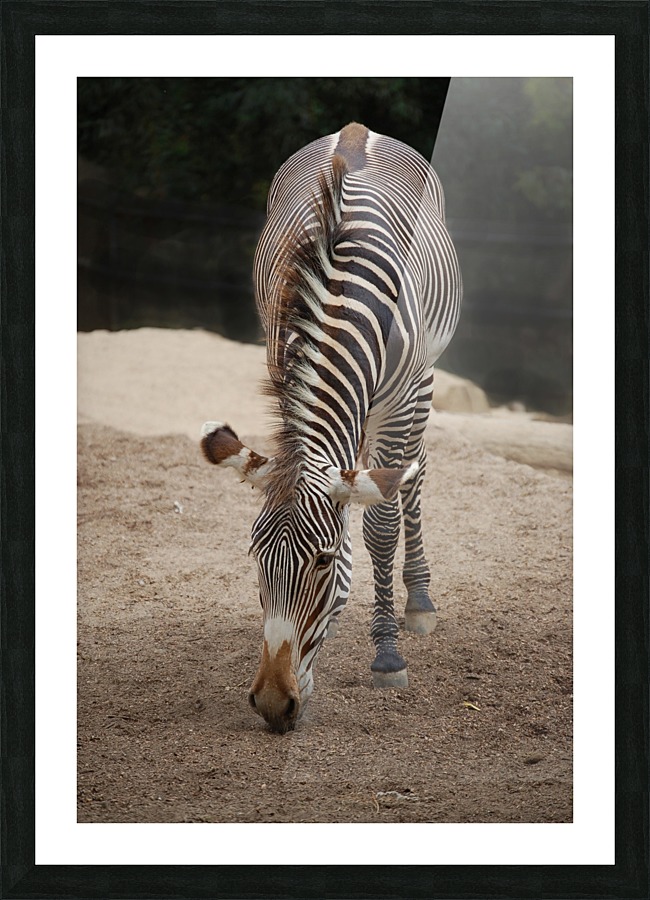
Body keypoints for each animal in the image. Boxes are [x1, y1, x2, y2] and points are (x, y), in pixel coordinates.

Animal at [201, 122, 461, 733]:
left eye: (322, 561)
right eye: (256, 557)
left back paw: (418, 600)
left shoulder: (398, 400)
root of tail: (356, 130)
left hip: (425, 378)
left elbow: (380, 526)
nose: (274, 707)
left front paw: (387, 655)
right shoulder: (282, 364)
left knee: (414, 473)